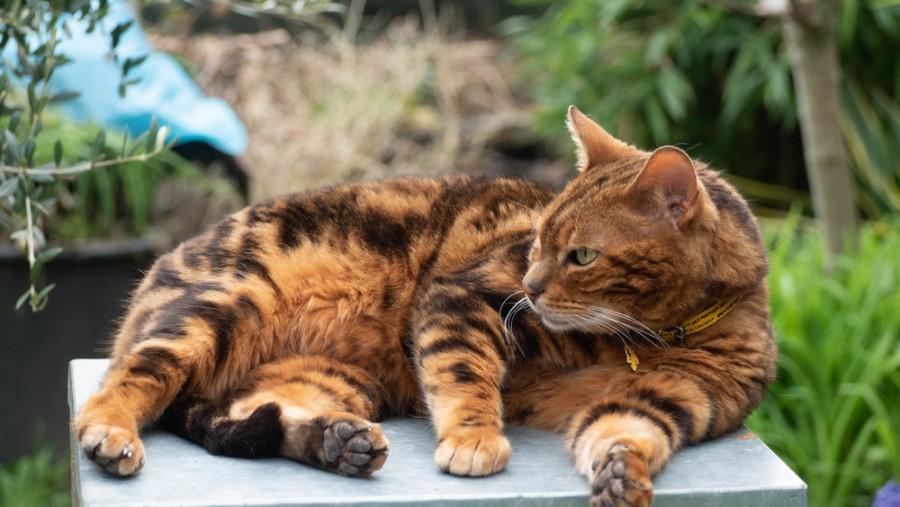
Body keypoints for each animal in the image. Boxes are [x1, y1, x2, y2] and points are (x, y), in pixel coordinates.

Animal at [74, 107, 776, 507]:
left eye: (581, 256)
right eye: (537, 243)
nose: (533, 286)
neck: (646, 338)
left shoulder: (675, 397)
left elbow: (624, 432)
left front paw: (622, 477)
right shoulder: (468, 300)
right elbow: (464, 375)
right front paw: (474, 439)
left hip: (336, 377)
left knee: (254, 412)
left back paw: (337, 443)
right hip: (222, 307)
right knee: (123, 383)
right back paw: (112, 435)